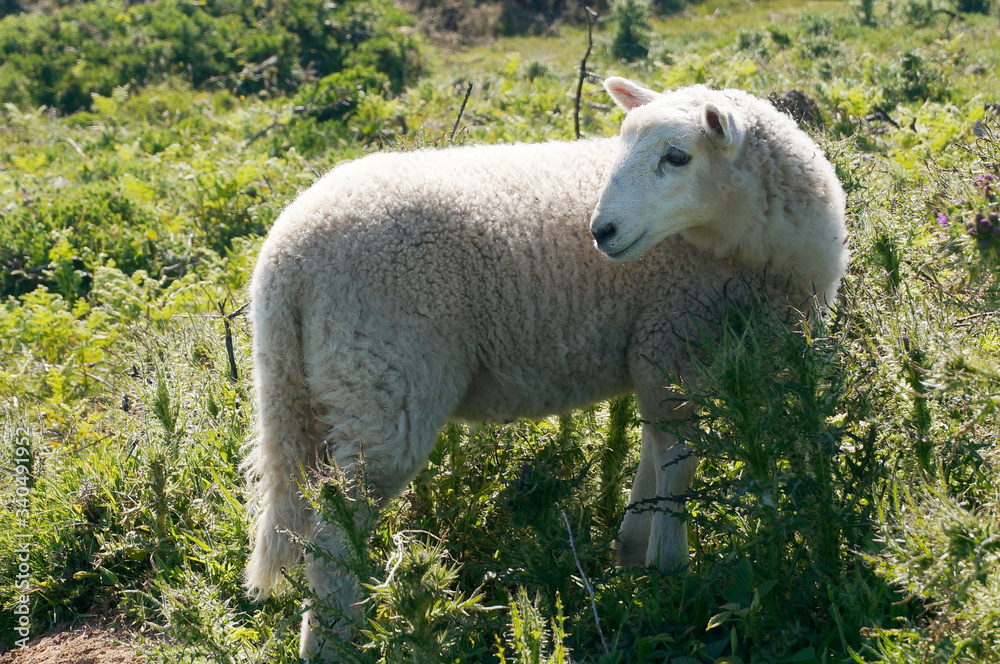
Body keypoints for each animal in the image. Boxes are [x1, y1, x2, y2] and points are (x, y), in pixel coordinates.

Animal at [244, 76, 849, 659]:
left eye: (677, 156)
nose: (601, 231)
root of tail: (285, 258)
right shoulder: (671, 338)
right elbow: (678, 461)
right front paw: (670, 572)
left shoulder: (655, 352)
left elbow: (654, 454)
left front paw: (633, 550)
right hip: (383, 381)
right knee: (336, 534)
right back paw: (332, 643)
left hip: (317, 389)